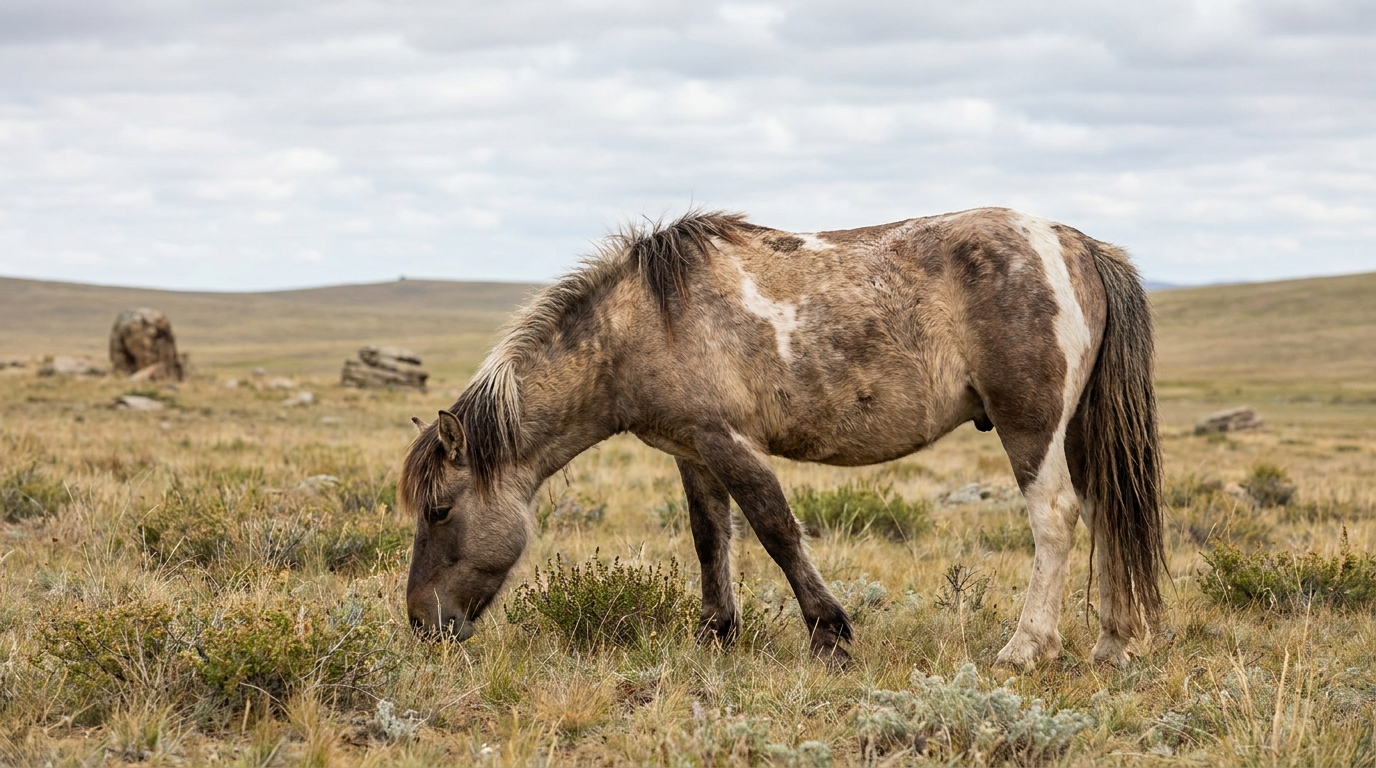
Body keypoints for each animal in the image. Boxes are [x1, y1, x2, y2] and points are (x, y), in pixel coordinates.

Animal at [400, 207, 1164, 668]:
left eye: (439, 510)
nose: (423, 624)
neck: (644, 322)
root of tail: (1075, 243)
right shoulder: (693, 453)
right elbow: (712, 539)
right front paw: (715, 633)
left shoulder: (731, 442)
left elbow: (776, 531)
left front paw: (830, 635)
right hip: (1077, 431)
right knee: (1105, 514)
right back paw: (1112, 644)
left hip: (1030, 426)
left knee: (1056, 519)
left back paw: (1026, 648)